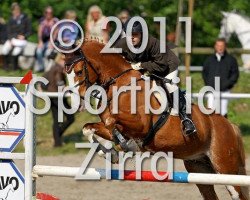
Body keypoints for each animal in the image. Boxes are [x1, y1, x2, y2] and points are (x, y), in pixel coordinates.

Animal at [64, 39, 248, 199]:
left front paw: (124, 146)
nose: (75, 103)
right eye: (66, 74)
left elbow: (111, 122)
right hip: (199, 168)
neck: (120, 85)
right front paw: (112, 154)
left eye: (79, 72)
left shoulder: (141, 126)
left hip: (225, 169)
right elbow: (89, 128)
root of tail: (230, 125)